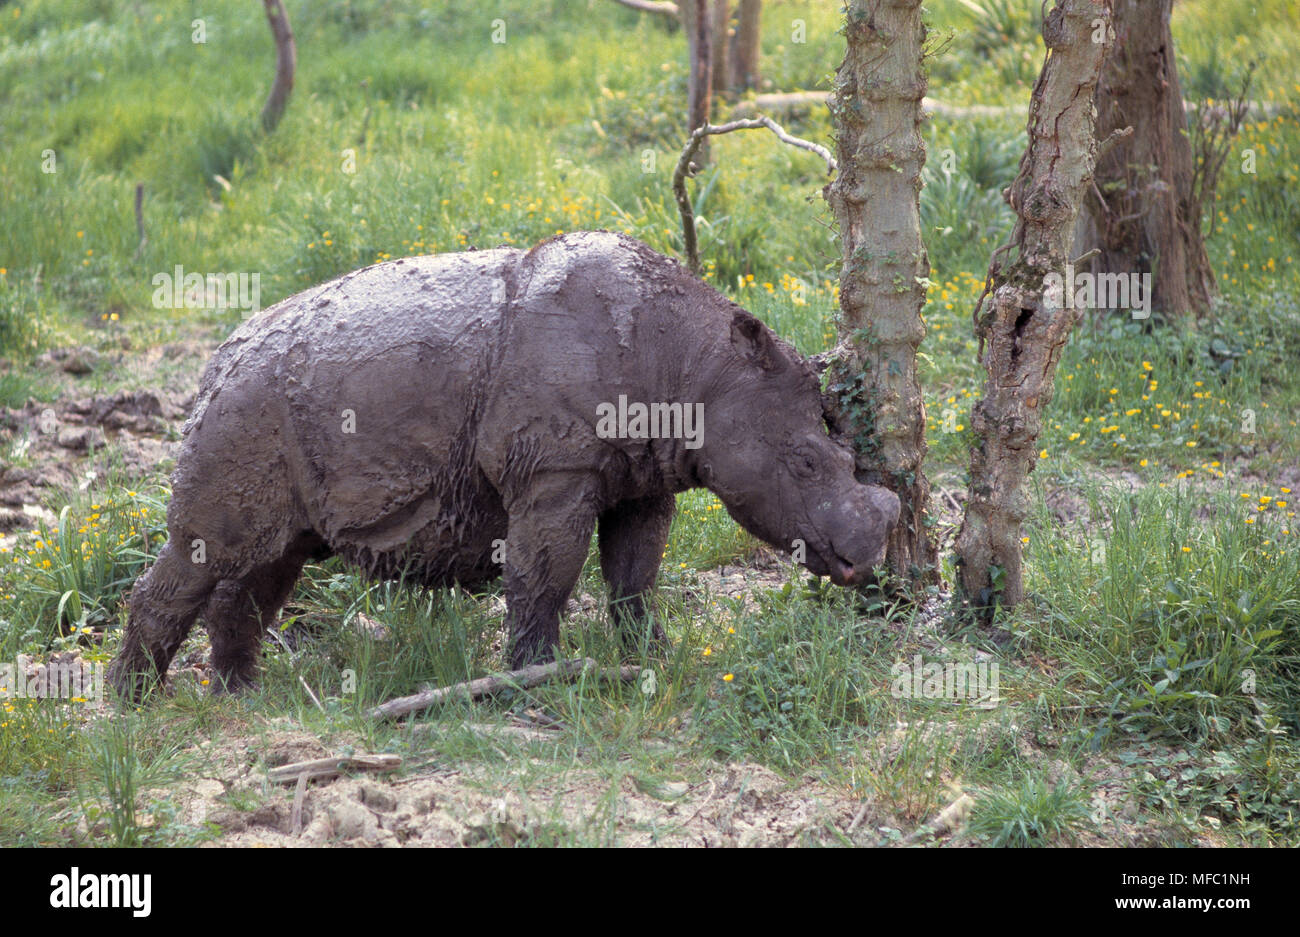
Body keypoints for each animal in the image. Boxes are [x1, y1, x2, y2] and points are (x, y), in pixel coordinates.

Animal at [109, 231, 899, 699]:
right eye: (805, 462)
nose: (867, 559)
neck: (699, 368)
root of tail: (216, 358)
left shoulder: (643, 477)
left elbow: (634, 577)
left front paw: (654, 657)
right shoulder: (556, 471)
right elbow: (545, 574)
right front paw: (538, 680)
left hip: (275, 417)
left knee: (274, 557)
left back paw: (241, 695)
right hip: (245, 410)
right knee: (206, 551)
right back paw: (135, 705)